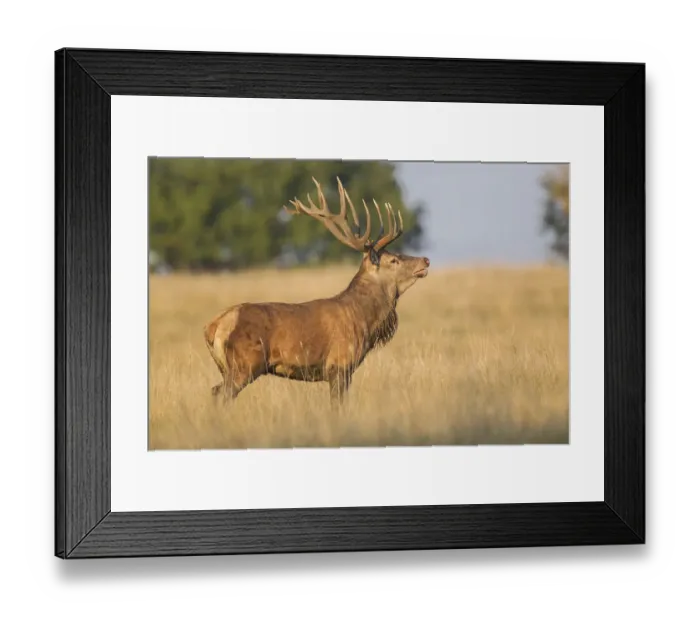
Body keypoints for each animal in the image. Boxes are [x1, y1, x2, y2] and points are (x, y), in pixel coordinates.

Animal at [203, 176, 430, 408]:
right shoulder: (339, 364)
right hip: (245, 363)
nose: (425, 260)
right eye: (393, 260)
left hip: (230, 368)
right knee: (222, 394)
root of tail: (213, 326)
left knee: (214, 390)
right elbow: (337, 407)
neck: (365, 320)